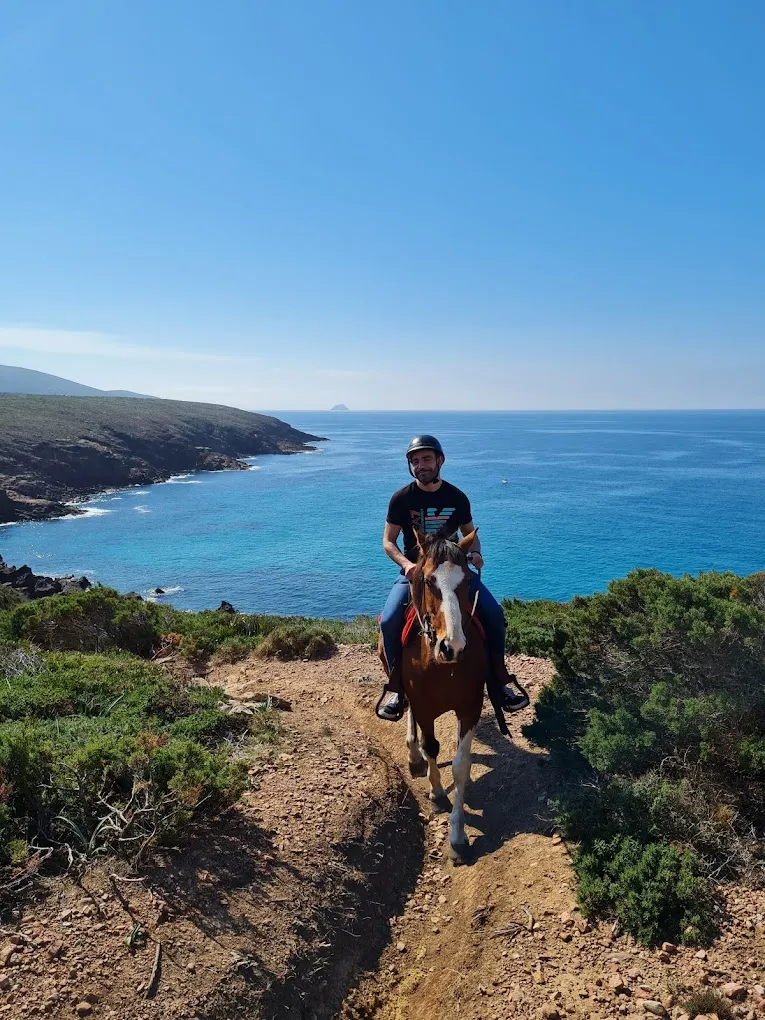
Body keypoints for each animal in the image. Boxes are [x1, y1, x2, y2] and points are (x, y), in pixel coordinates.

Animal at [379, 528, 487, 861]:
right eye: (428, 581)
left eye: (468, 579)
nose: (453, 647)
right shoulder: (424, 706)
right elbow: (432, 747)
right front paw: (436, 790)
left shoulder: (470, 707)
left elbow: (461, 765)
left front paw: (458, 835)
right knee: (409, 713)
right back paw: (413, 755)